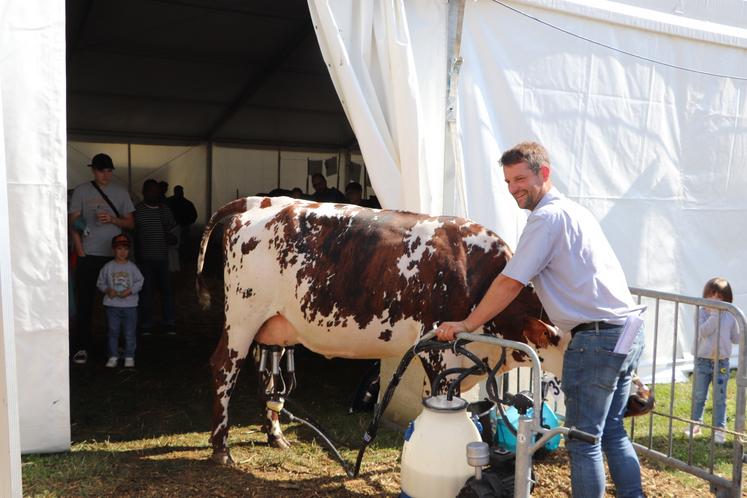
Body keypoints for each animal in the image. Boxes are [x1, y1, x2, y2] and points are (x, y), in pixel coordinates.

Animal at [196, 195, 564, 462]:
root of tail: (261, 202)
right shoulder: (442, 354)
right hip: (243, 316)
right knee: (223, 367)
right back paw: (221, 448)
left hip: (272, 325)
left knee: (268, 377)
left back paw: (275, 436)